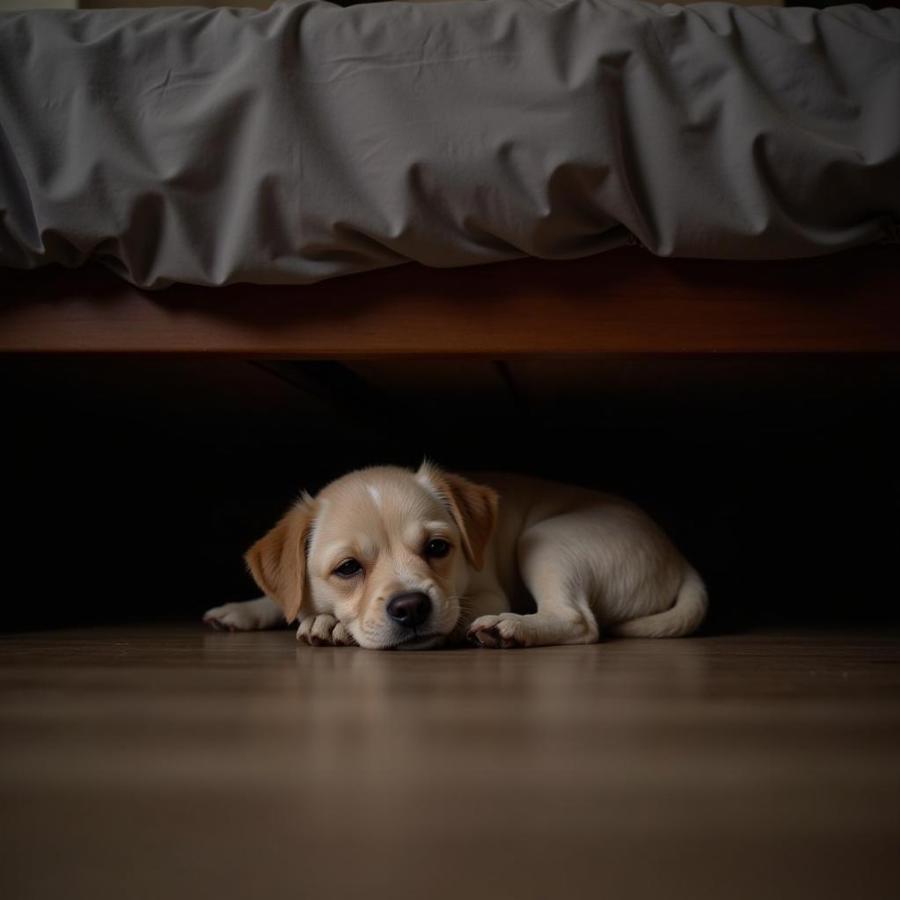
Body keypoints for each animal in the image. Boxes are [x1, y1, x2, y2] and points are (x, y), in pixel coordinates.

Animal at [202, 464, 704, 648]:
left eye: (437, 548)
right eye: (348, 568)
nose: (410, 607)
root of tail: (680, 559)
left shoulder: (485, 592)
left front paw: (328, 623)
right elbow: (285, 597)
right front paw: (243, 609)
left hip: (546, 540)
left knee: (579, 621)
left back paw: (511, 628)